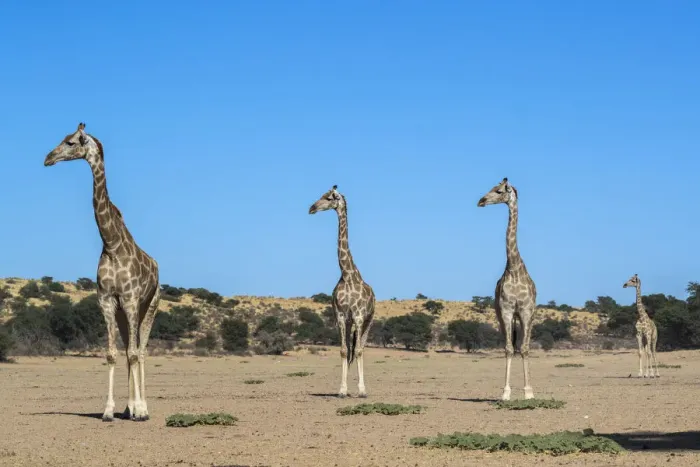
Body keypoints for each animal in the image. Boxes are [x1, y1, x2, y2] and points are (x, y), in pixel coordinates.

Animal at [44, 123, 160, 421]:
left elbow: (133, 354)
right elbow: (112, 353)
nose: (48, 158)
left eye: (71, 142)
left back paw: (143, 408)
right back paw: (129, 408)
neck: (111, 244)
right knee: (131, 348)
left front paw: (140, 410)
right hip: (123, 313)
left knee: (142, 351)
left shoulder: (130, 300)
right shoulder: (107, 301)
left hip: (149, 305)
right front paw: (110, 410)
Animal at [309, 185, 375, 398]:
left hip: (368, 320)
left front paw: (361, 390)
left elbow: (359, 350)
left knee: (361, 347)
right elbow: (344, 351)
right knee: (351, 350)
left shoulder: (360, 315)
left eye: (330, 198)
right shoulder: (339, 315)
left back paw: (362, 388)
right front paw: (342, 390)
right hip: (349, 322)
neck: (347, 274)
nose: (312, 208)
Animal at [478, 177, 537, 401]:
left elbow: (525, 348)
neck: (514, 268)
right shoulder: (506, 310)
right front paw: (505, 392)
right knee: (509, 345)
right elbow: (509, 349)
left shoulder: (526, 310)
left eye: (499, 190)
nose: (481, 201)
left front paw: (529, 392)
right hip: (504, 316)